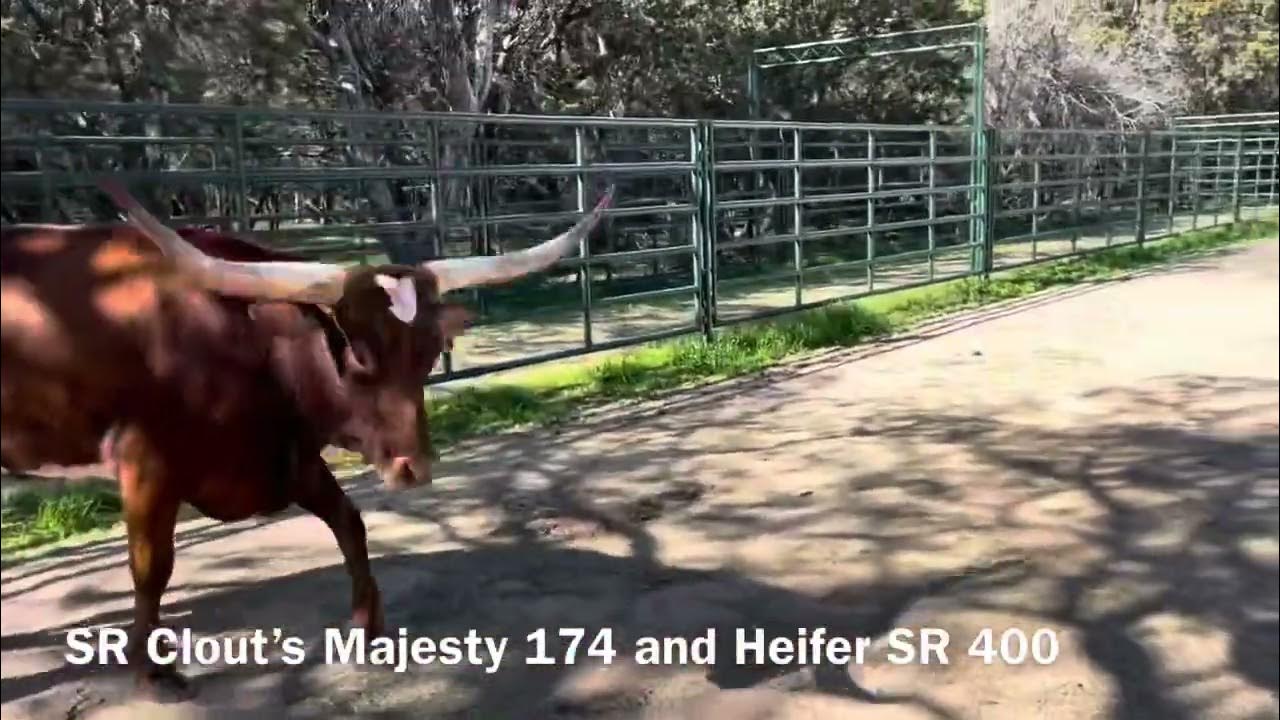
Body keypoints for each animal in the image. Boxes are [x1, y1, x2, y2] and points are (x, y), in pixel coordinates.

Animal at [0, 182, 613, 698]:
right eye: (359, 355)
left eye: (430, 352)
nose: (413, 468)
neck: (240, 335)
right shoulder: (147, 463)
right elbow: (153, 566)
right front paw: (154, 670)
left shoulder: (290, 456)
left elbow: (349, 522)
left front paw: (368, 624)